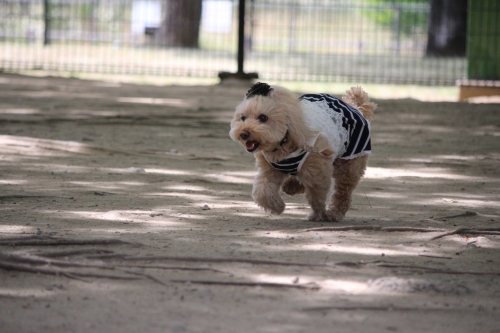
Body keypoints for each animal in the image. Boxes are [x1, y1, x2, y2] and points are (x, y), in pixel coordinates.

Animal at [230, 82, 376, 222]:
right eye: (243, 117)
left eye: (263, 117)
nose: (243, 133)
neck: (283, 142)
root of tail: (354, 107)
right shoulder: (270, 169)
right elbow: (262, 191)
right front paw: (278, 207)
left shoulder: (317, 172)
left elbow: (317, 197)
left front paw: (318, 214)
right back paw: (291, 186)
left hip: (349, 163)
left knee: (343, 192)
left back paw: (334, 213)